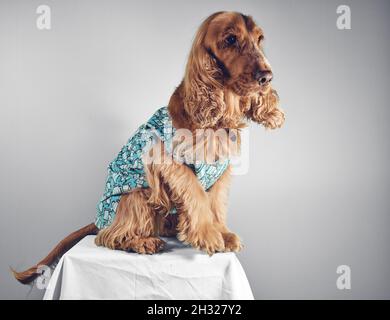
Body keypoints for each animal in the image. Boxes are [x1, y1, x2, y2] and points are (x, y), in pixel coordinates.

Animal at [12, 11, 284, 284]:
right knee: (109, 237)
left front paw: (222, 234)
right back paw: (142, 242)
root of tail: (100, 220)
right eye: (230, 39)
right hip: (137, 196)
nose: (266, 77)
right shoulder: (168, 159)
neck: (218, 117)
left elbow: (216, 203)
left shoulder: (221, 170)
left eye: (259, 39)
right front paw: (208, 235)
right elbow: (196, 193)